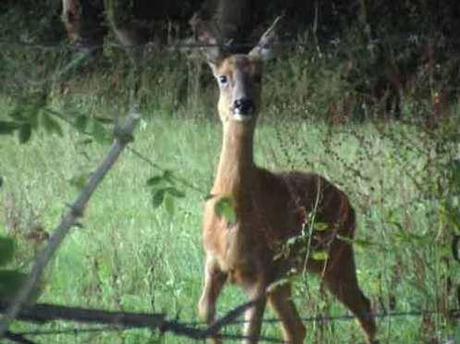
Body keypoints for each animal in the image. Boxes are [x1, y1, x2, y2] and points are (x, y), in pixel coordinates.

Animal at [194, 17, 378, 344]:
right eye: (223, 78)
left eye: (258, 76)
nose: (243, 104)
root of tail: (348, 203)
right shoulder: (214, 262)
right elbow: (205, 312)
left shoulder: (262, 269)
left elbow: (251, 332)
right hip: (289, 274)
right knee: (297, 327)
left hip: (335, 254)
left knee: (364, 309)